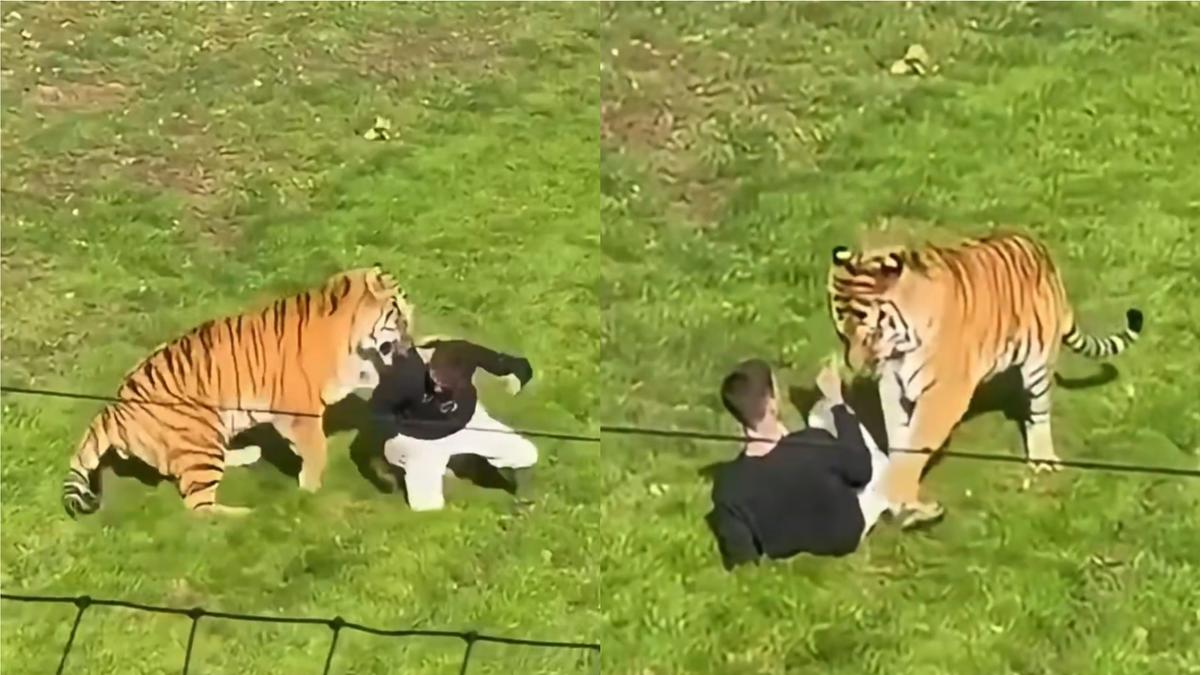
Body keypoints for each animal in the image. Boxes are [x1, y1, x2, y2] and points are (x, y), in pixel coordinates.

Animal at [62, 265, 415, 518]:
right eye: (399, 311)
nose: (413, 336)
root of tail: (113, 407)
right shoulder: (299, 411)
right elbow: (316, 450)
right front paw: (309, 489)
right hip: (201, 436)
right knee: (198, 507)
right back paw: (247, 514)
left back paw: (248, 454)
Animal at [826, 232, 1144, 529]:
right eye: (842, 334)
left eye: (870, 332)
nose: (853, 367)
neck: (901, 347)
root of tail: (1042, 253)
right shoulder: (892, 387)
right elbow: (900, 440)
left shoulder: (943, 395)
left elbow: (916, 445)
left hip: (1038, 365)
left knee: (1039, 414)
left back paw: (1043, 460)